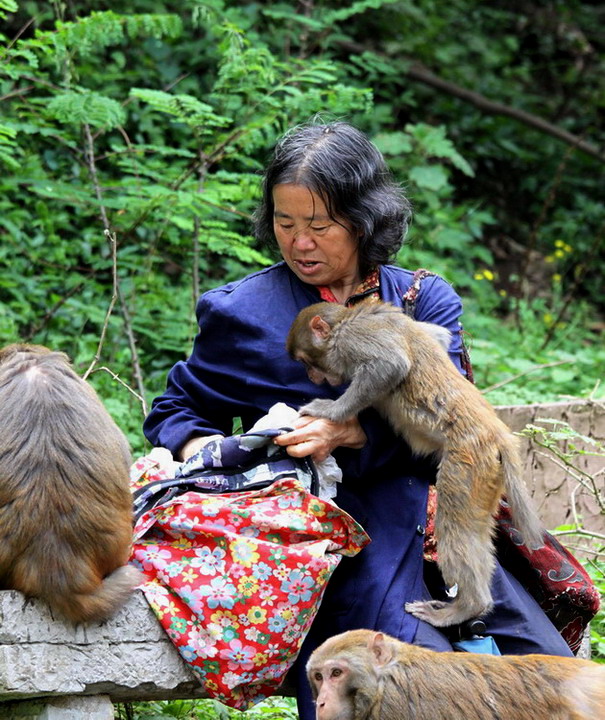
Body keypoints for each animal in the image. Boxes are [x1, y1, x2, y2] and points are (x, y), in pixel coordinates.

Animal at [286, 300, 544, 628]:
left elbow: (390, 365)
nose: (313, 377)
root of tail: (496, 432)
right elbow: (439, 337)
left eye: (307, 361)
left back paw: (465, 607)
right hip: (487, 473)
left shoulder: (352, 340)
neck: (346, 318)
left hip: (466, 463)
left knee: (455, 524)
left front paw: (332, 412)